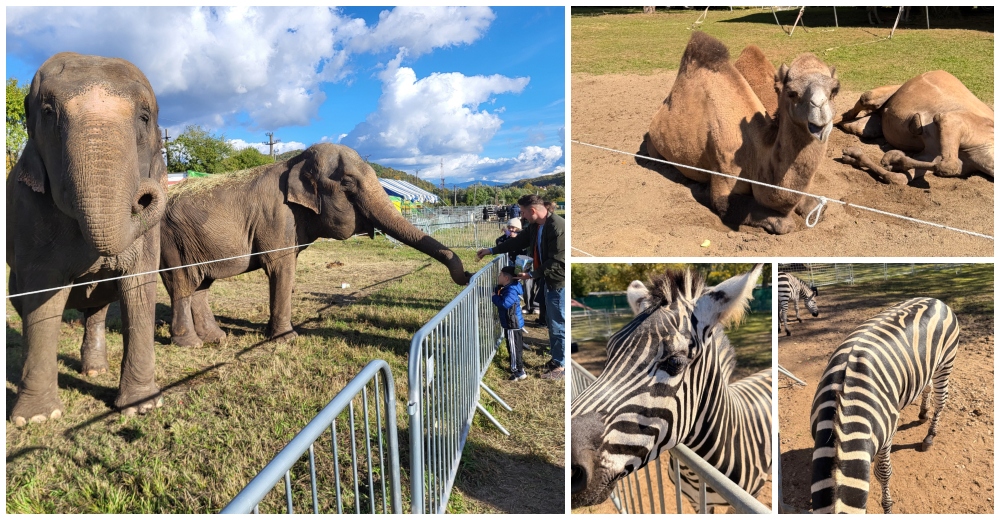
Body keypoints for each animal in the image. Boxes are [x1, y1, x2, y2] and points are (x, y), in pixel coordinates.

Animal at [7, 53, 167, 426]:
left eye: (144, 117)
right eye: (48, 112)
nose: (144, 195)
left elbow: (139, 284)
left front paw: (142, 406)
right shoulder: (28, 209)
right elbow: (43, 295)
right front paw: (35, 419)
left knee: (97, 307)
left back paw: (95, 371)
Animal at [153, 142, 472, 347]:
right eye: (347, 183)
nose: (469, 275)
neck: (294, 162)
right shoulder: (277, 218)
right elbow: (281, 268)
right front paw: (286, 340)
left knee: (201, 287)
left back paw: (217, 339)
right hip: (170, 243)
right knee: (182, 285)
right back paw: (190, 345)